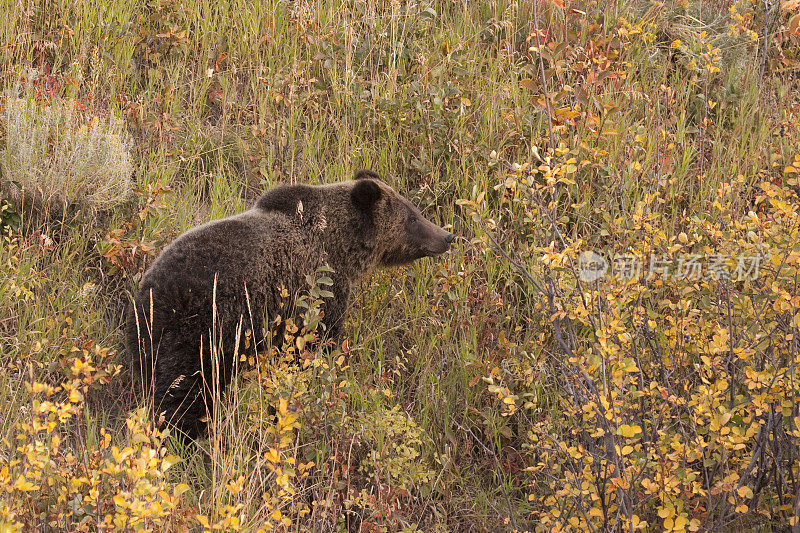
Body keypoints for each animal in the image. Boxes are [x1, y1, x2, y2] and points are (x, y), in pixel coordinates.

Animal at [123, 170, 450, 436]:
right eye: (412, 218)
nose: (447, 235)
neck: (341, 246)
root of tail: (144, 295)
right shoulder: (318, 292)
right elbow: (316, 343)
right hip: (196, 333)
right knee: (184, 393)